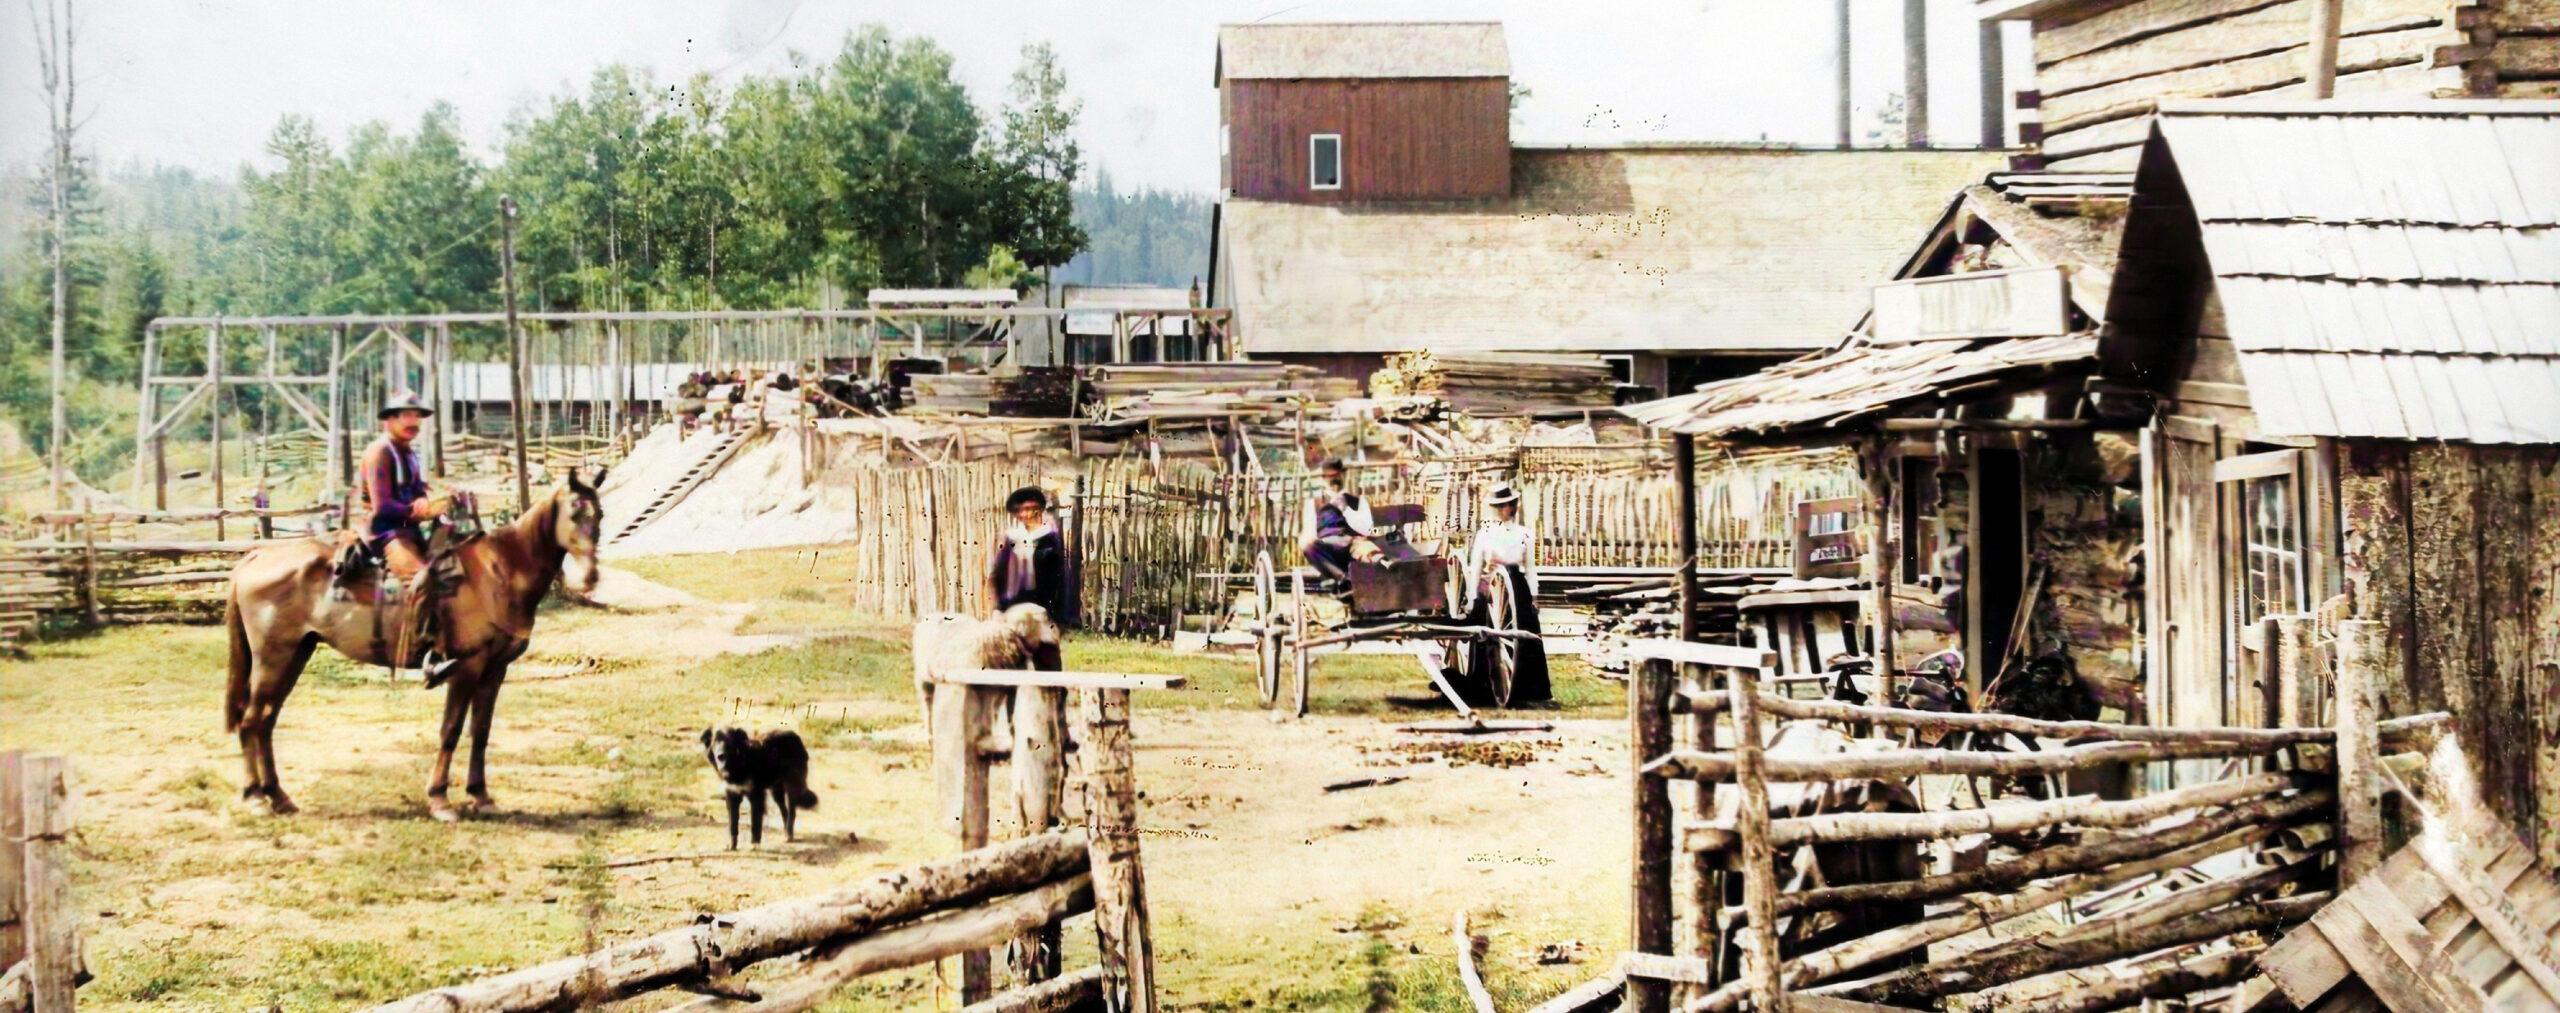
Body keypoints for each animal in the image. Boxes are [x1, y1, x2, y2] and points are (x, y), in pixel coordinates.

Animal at [217, 470, 601, 818]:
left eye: (598, 513)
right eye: (574, 513)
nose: (590, 577)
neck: (500, 571)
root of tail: (255, 556)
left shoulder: (495, 670)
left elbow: (480, 731)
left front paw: (480, 795)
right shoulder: (466, 667)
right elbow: (450, 730)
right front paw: (440, 799)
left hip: (296, 654)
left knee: (266, 722)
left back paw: (278, 797)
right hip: (272, 659)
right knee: (251, 721)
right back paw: (255, 797)